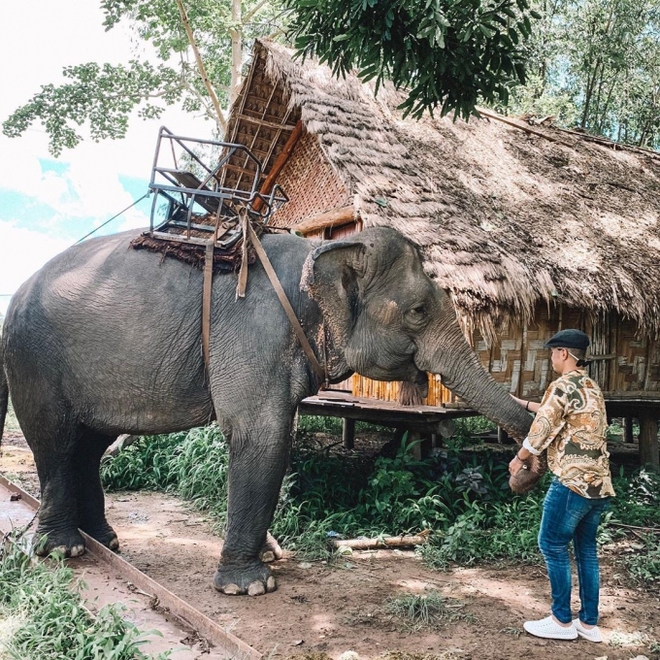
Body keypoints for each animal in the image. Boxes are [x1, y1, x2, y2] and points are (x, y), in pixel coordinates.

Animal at [0, 226, 532, 592]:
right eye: (419, 310)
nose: (520, 473)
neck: (322, 252)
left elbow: (278, 440)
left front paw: (270, 560)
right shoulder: (253, 335)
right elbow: (263, 436)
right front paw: (251, 586)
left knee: (90, 444)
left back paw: (104, 541)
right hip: (33, 360)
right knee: (55, 440)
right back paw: (61, 549)